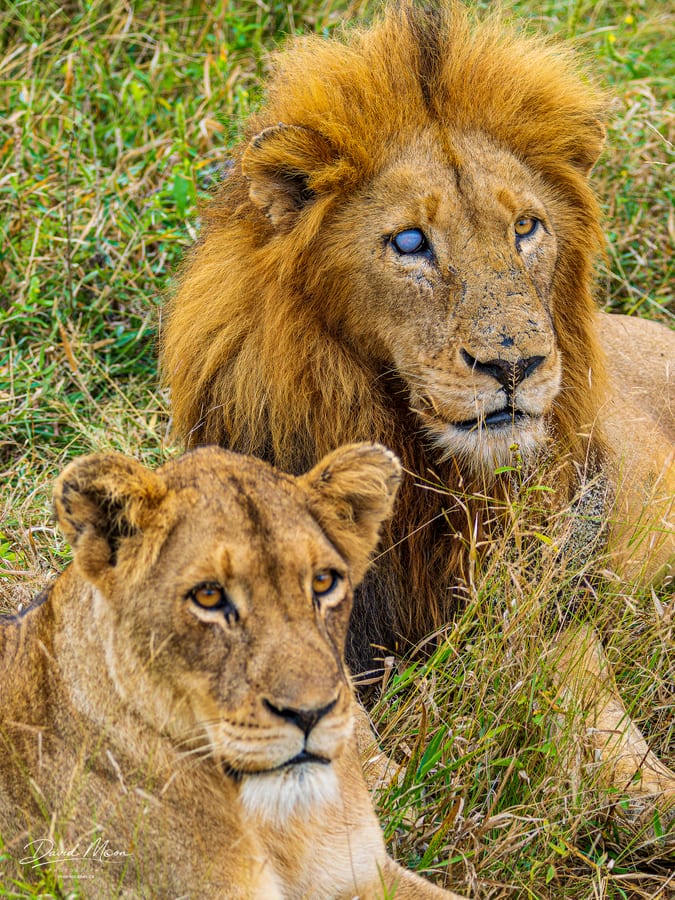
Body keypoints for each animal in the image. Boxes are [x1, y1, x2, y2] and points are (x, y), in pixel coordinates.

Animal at [161, 2, 675, 821]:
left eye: (525, 228)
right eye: (409, 241)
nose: (514, 366)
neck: (418, 465)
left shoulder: (541, 590)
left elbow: (590, 705)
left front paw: (646, 794)